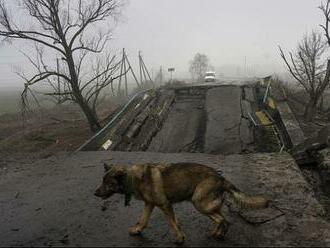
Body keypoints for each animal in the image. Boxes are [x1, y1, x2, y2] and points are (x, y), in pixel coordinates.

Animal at [93, 162, 268, 245]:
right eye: (102, 181)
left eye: (107, 183)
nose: (95, 193)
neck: (132, 178)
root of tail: (221, 178)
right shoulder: (149, 205)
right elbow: (144, 220)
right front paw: (137, 230)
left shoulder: (165, 205)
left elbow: (172, 223)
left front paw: (179, 238)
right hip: (206, 204)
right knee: (224, 219)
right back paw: (218, 233)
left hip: (199, 203)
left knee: (222, 219)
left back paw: (218, 234)